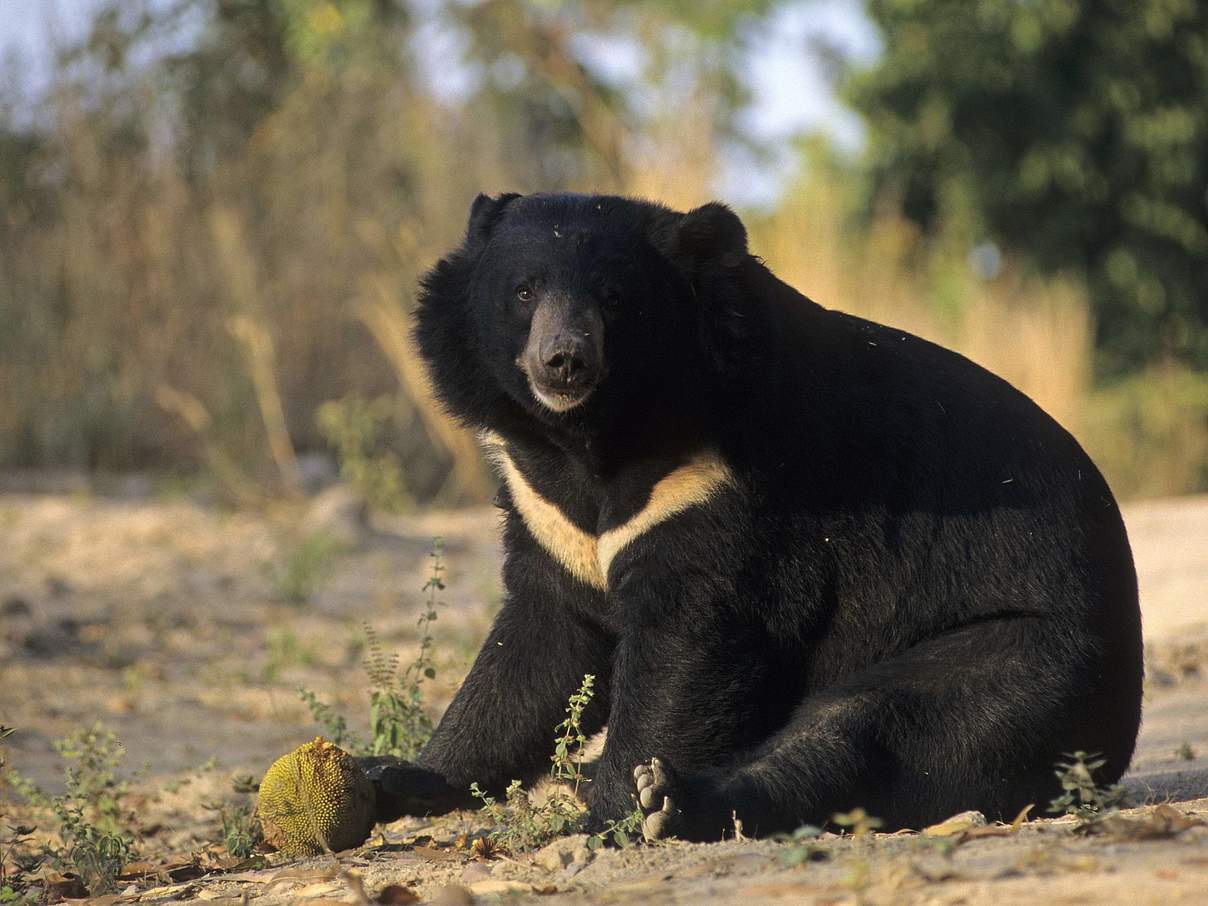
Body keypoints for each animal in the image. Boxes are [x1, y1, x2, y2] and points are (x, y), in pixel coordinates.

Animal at [367, 192, 1140, 845]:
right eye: (524, 291)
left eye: (614, 297)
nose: (563, 362)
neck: (594, 436)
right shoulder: (546, 509)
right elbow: (537, 646)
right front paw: (401, 775)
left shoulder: (725, 485)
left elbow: (693, 641)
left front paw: (611, 812)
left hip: (1027, 650)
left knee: (879, 728)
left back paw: (672, 800)